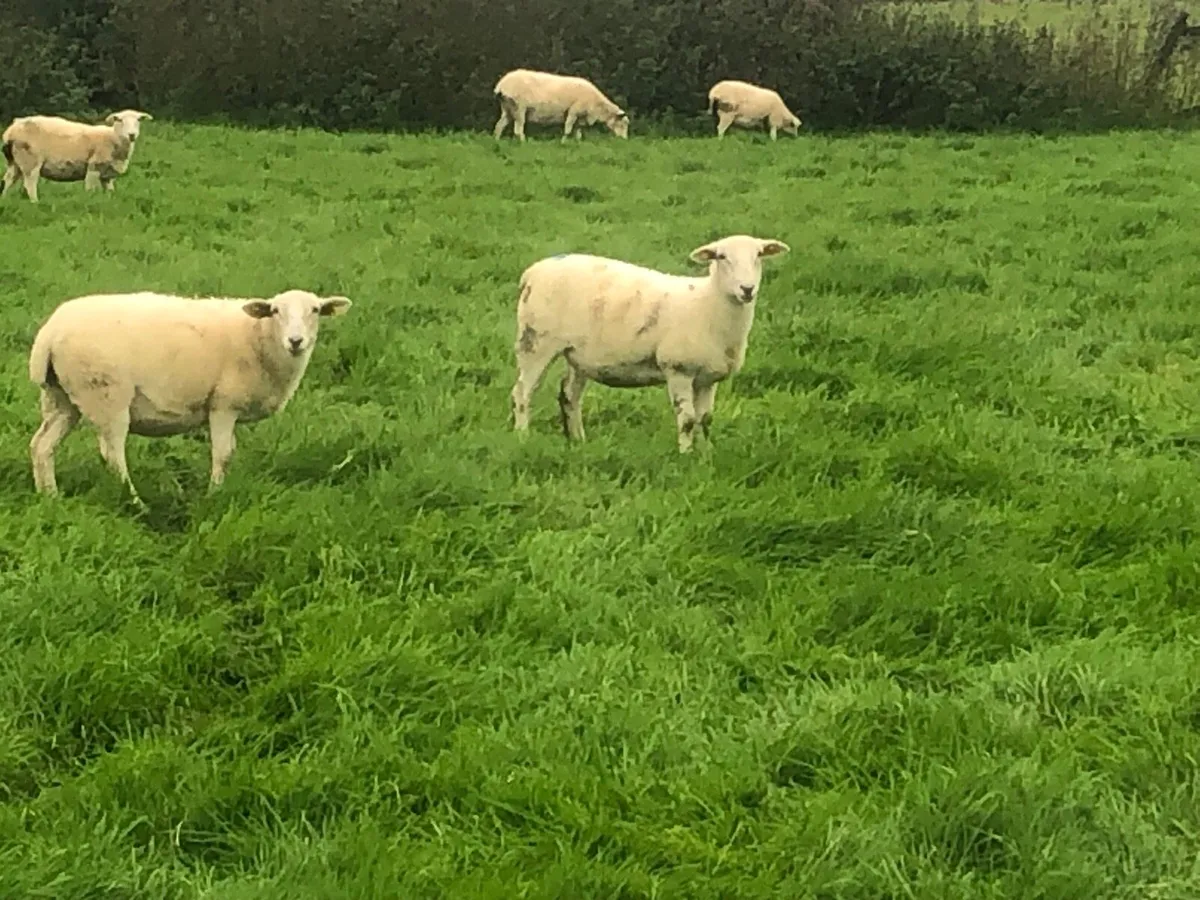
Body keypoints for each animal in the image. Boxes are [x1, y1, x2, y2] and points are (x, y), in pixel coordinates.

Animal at [2, 109, 153, 203]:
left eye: (138, 120)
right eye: (119, 120)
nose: (132, 135)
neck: (112, 138)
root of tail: (11, 131)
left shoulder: (107, 175)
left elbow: (110, 191)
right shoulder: (93, 167)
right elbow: (90, 189)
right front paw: (89, 202)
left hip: (15, 161)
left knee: (8, 180)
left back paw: (4, 200)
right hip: (30, 160)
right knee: (30, 184)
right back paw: (35, 203)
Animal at [28, 288, 352, 508]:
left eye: (315, 310)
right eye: (275, 311)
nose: (296, 341)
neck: (258, 338)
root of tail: (49, 334)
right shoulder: (223, 405)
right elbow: (223, 454)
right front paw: (214, 495)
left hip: (61, 398)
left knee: (42, 445)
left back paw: (50, 497)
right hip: (106, 396)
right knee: (112, 454)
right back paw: (136, 504)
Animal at [494, 68, 629, 142]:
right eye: (622, 124)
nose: (624, 140)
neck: (597, 106)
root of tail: (502, 85)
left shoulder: (580, 118)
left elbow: (578, 132)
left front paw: (578, 144)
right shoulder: (574, 111)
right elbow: (568, 130)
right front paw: (563, 143)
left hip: (507, 109)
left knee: (499, 126)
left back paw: (496, 141)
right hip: (519, 107)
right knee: (518, 130)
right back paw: (524, 143)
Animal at [510, 234, 789, 453]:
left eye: (759, 255)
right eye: (721, 256)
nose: (747, 289)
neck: (707, 303)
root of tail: (533, 272)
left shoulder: (709, 378)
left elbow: (706, 419)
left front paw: (706, 454)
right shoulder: (678, 369)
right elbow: (687, 420)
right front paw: (686, 457)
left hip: (577, 355)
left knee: (569, 396)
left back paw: (578, 441)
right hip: (536, 341)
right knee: (522, 393)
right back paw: (523, 438)